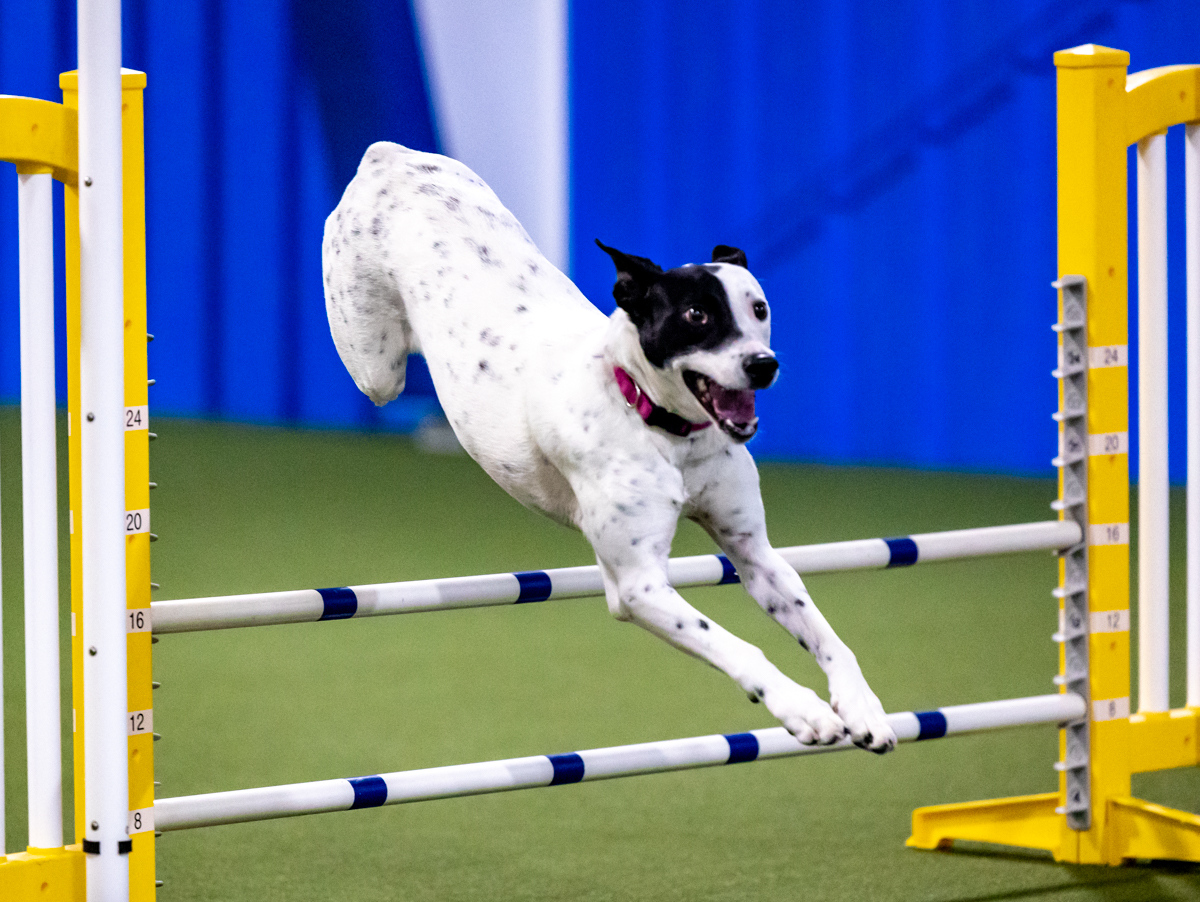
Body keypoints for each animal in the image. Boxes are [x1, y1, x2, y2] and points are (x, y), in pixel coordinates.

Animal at [323, 142, 896, 753]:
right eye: (696, 315)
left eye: (759, 309)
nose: (763, 365)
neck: (657, 424)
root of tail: (388, 155)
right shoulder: (637, 586)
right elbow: (737, 645)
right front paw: (800, 707)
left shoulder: (756, 554)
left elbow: (826, 634)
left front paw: (863, 707)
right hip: (375, 367)